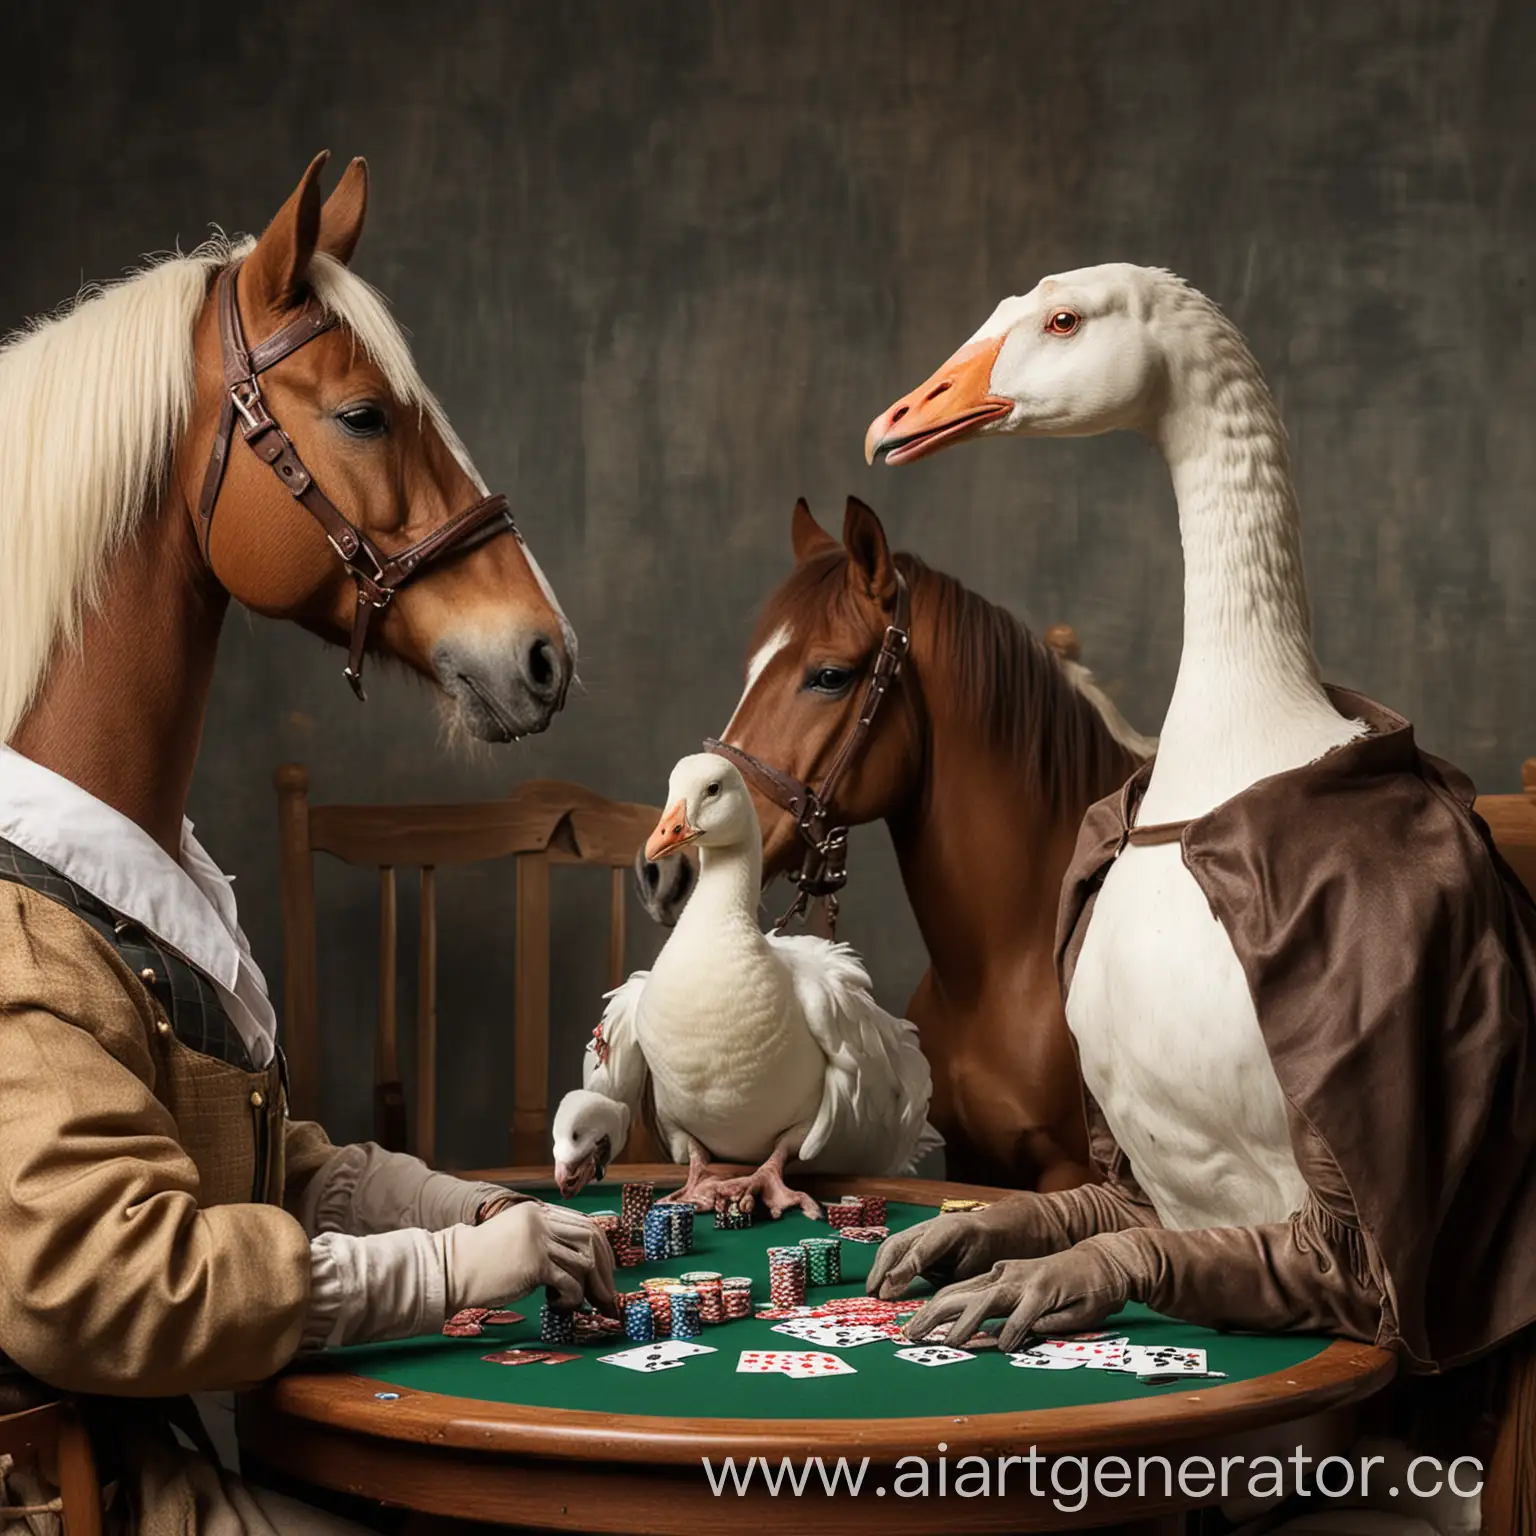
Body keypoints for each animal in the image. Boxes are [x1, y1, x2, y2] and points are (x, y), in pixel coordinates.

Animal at [651, 494, 1155, 1185]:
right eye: (752, 668)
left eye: (830, 675)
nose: (666, 871)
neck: (1006, 966)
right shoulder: (973, 1161)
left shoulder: (1072, 1174)